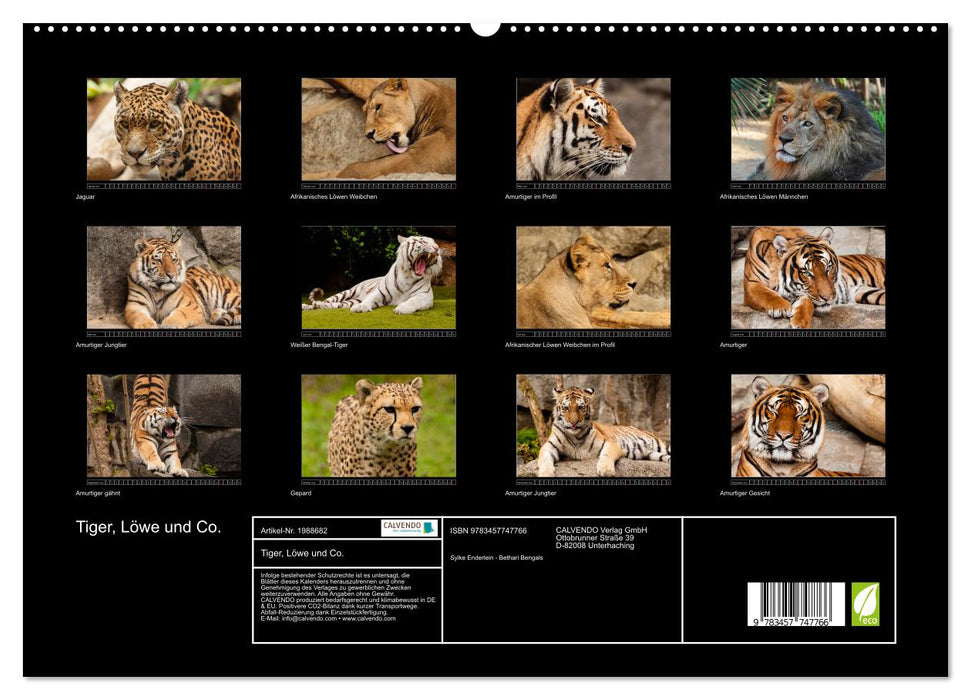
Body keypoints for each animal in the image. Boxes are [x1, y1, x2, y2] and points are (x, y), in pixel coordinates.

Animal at [302, 235, 442, 314]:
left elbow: (413, 301)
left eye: (435, 243)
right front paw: (360, 307)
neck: (409, 276)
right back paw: (308, 305)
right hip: (346, 292)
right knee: (326, 301)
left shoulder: (425, 296)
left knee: (333, 305)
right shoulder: (380, 292)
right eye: (423, 242)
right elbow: (370, 299)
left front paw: (402, 308)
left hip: (349, 301)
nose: (437, 248)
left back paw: (317, 306)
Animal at [536, 381, 671, 478]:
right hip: (654, 454)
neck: (575, 436)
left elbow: (606, 454)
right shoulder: (549, 445)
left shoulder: (610, 443)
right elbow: (544, 458)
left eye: (580, 407)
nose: (573, 423)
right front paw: (545, 474)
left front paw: (606, 470)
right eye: (566, 408)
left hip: (663, 446)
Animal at [743, 226, 886, 329]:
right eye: (807, 273)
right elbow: (765, 293)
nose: (828, 298)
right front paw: (781, 307)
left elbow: (807, 303)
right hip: (866, 292)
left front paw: (800, 323)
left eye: (828, 268)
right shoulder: (752, 283)